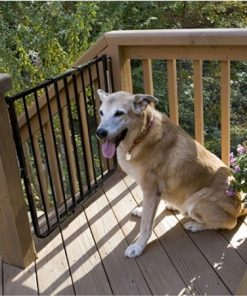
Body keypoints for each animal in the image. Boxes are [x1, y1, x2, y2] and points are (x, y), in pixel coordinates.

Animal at [95, 89, 246, 258]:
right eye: (101, 112)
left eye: (119, 113)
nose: (100, 133)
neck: (143, 134)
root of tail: (241, 204)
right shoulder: (153, 192)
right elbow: (148, 212)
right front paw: (142, 211)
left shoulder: (151, 189)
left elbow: (146, 224)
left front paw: (139, 247)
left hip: (195, 202)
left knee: (228, 223)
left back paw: (196, 225)